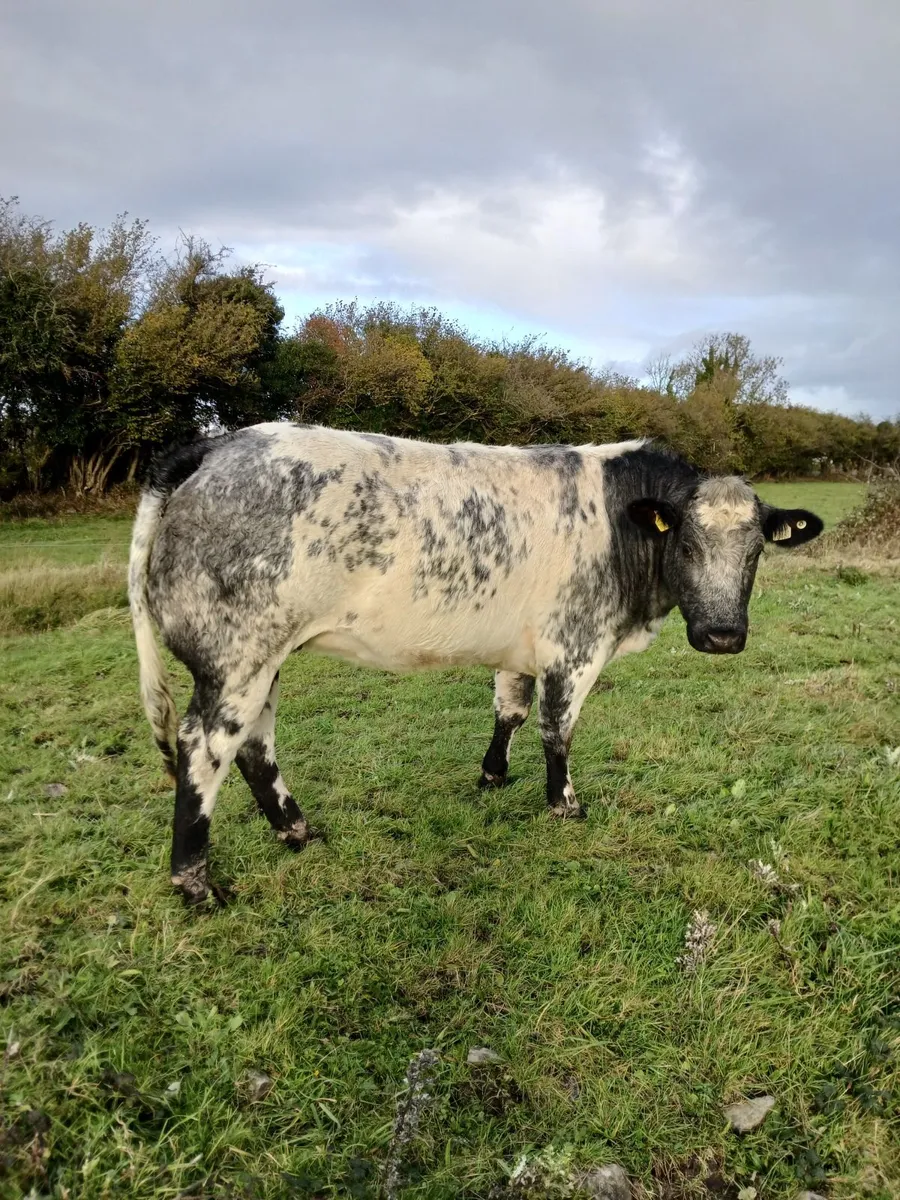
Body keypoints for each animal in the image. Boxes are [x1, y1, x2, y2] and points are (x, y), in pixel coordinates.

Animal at [129, 423, 823, 904]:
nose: (722, 635)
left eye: (757, 548)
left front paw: (493, 775)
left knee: (253, 744)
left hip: (264, 657)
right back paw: (196, 885)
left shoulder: (523, 647)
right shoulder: (575, 644)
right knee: (205, 746)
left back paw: (296, 831)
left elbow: (509, 710)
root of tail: (217, 446)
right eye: (685, 540)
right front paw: (564, 805)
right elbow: (557, 727)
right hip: (236, 653)